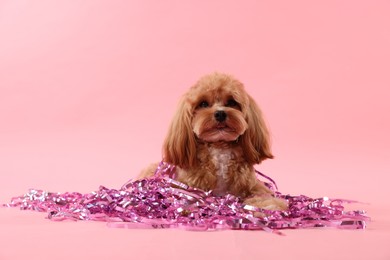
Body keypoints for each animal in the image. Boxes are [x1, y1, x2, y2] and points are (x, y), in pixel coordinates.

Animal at [139, 72, 288, 210]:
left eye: (232, 102)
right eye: (203, 104)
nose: (220, 113)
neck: (219, 148)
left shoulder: (254, 186)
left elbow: (265, 197)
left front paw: (268, 206)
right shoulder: (186, 186)